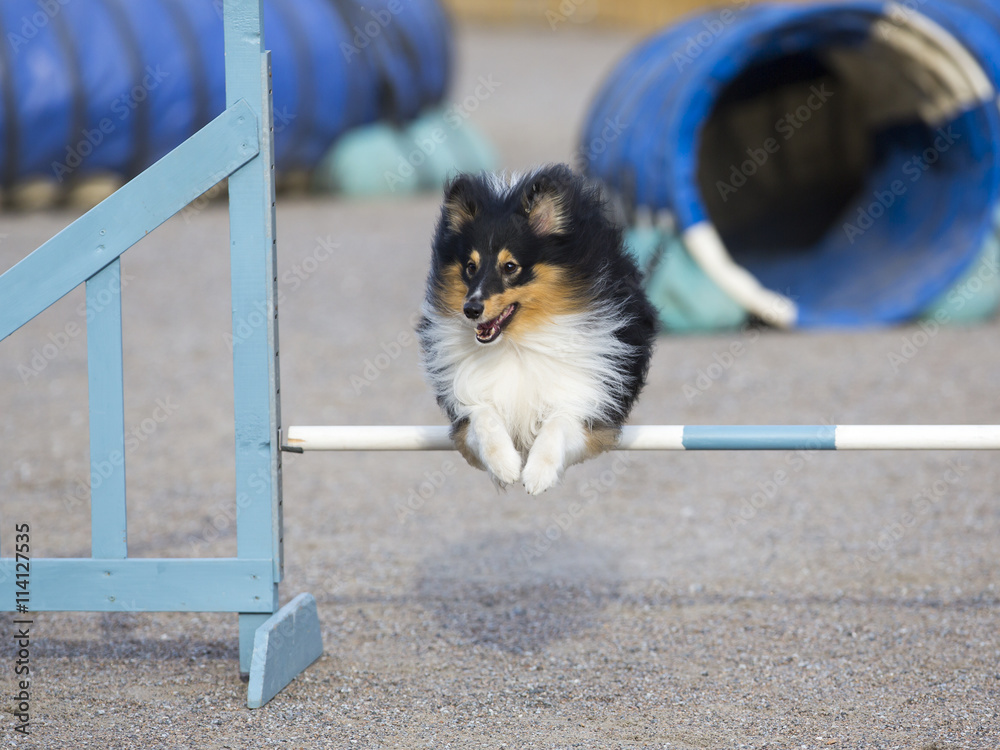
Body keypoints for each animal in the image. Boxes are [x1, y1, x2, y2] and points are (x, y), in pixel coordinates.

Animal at [414, 164, 656, 494]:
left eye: (510, 266)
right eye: (470, 266)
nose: (471, 309)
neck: (518, 343)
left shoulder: (588, 404)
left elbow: (559, 424)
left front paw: (538, 474)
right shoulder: (468, 407)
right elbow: (483, 416)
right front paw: (505, 465)